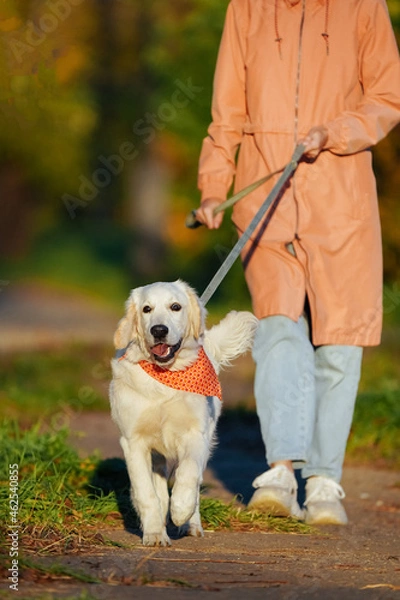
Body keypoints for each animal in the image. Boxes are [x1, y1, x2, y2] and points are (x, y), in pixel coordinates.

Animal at [110, 278, 260, 548]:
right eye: (146, 309)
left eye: (175, 306)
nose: (159, 330)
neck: (165, 377)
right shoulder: (133, 441)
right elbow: (146, 492)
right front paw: (154, 533)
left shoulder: (195, 435)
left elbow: (188, 475)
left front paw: (180, 511)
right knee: (158, 486)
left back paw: (192, 524)